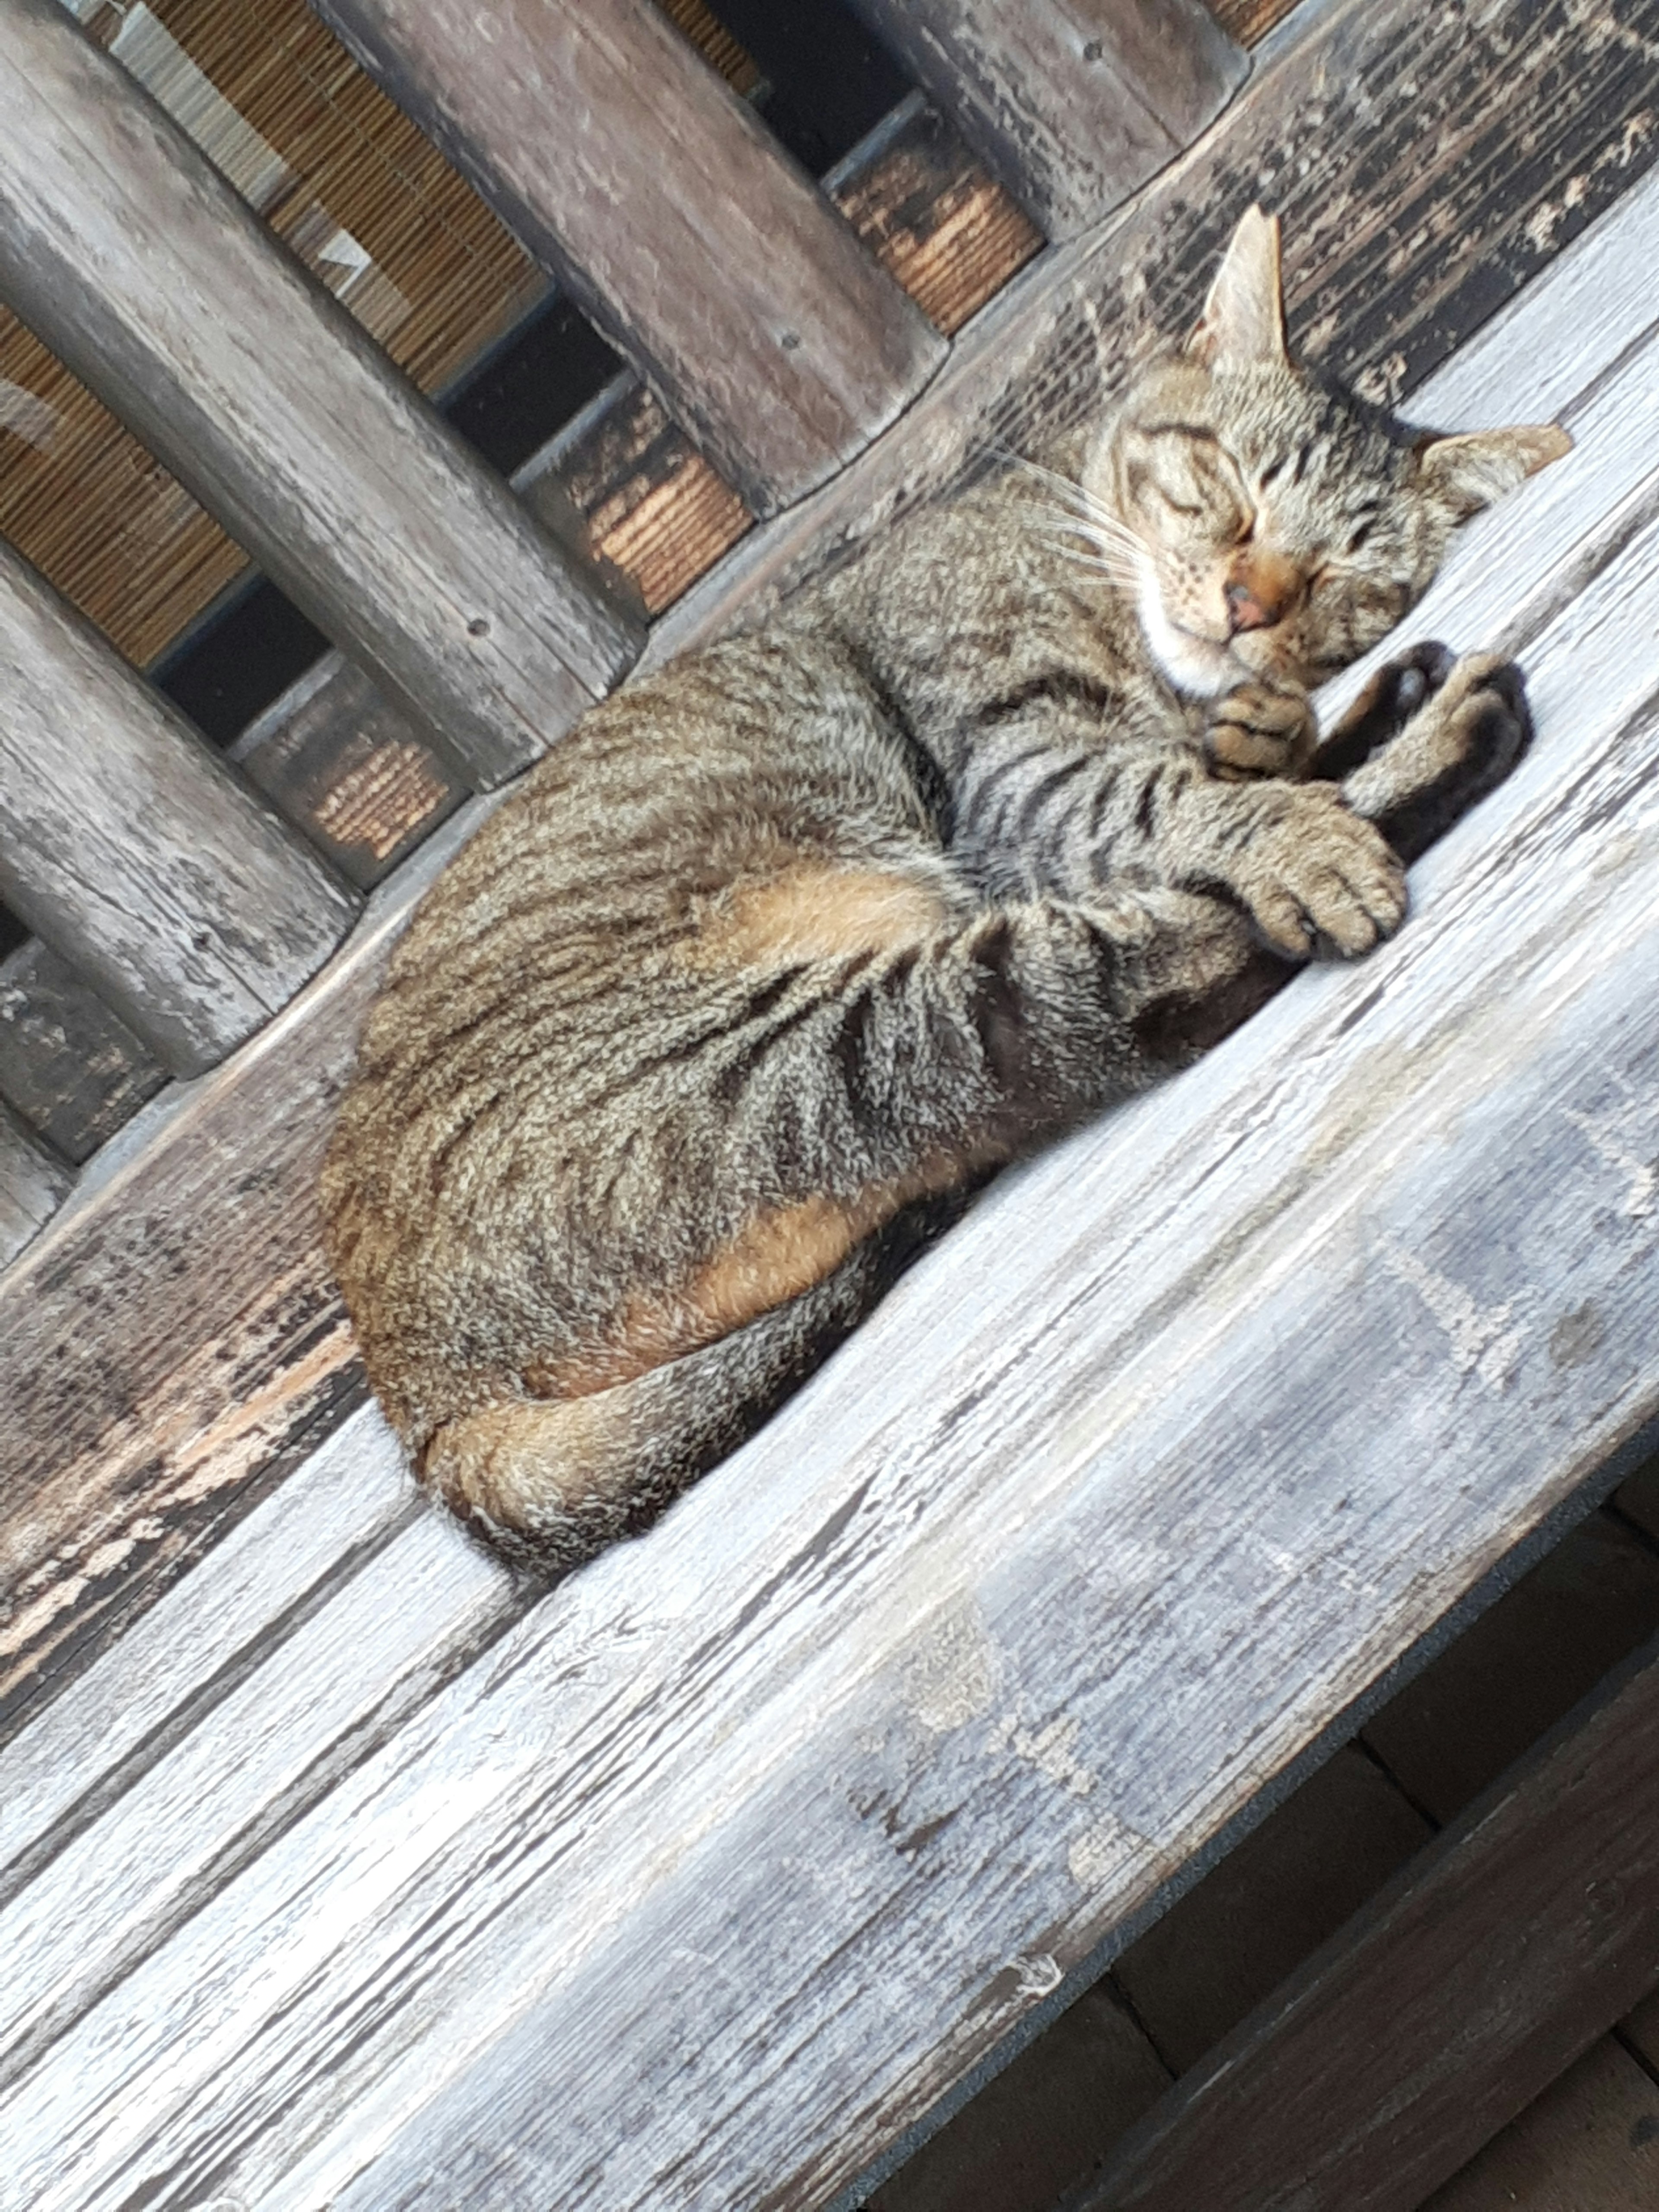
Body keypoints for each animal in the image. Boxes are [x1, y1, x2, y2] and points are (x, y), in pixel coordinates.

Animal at [325, 203, 1575, 1557]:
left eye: (1343, 575)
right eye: (1234, 498)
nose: (1249, 607)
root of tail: (418, 1406)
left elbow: (1219, 766)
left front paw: (1283, 726)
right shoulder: (1022, 772)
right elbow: (1182, 805)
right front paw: (1292, 811)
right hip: (849, 1031)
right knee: (1142, 980)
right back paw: (1433, 747)